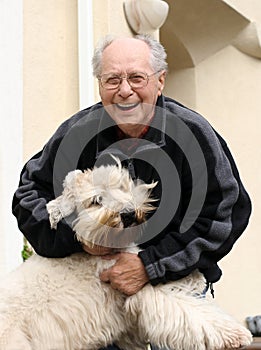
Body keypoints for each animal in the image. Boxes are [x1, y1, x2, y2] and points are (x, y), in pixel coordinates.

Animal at [0, 159, 252, 350]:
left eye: (121, 186)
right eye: (96, 200)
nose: (129, 214)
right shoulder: (139, 289)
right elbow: (186, 309)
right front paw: (236, 334)